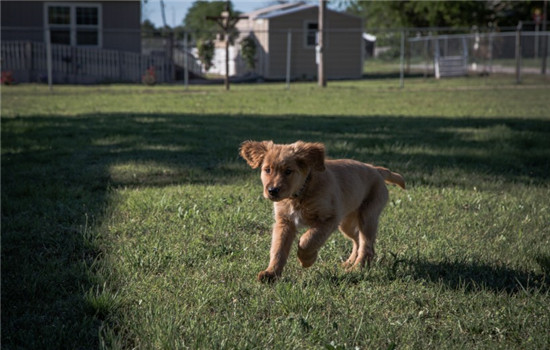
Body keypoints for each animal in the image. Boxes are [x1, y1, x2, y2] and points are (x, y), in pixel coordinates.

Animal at [240, 139, 406, 282]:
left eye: (288, 171)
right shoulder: (284, 222)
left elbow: (308, 239)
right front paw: (271, 273)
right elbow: (278, 249)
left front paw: (307, 259)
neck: (300, 193)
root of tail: (376, 169)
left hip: (368, 216)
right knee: (357, 239)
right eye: (267, 170)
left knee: (367, 246)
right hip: (346, 223)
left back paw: (357, 268)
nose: (272, 191)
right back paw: (349, 262)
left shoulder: (328, 219)